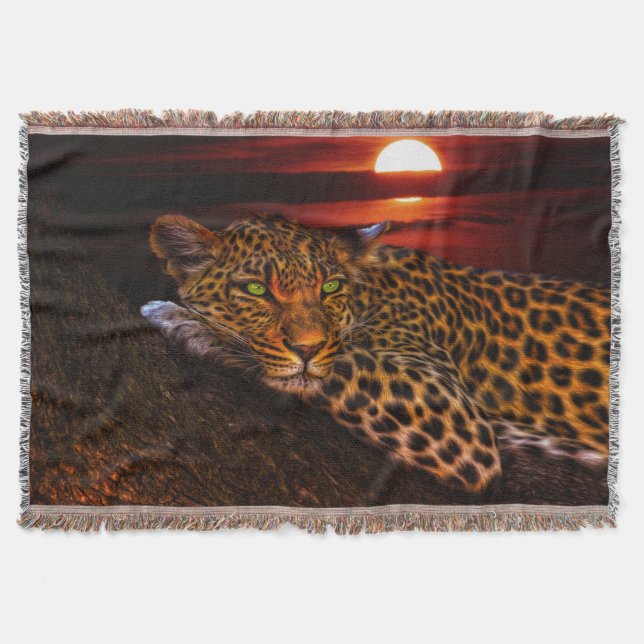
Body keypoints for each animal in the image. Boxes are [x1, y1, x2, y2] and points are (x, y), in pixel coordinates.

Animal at [141, 213, 611, 493]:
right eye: (257, 289)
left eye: (330, 287)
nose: (307, 347)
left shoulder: (453, 414)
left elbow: (337, 364)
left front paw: (185, 321)